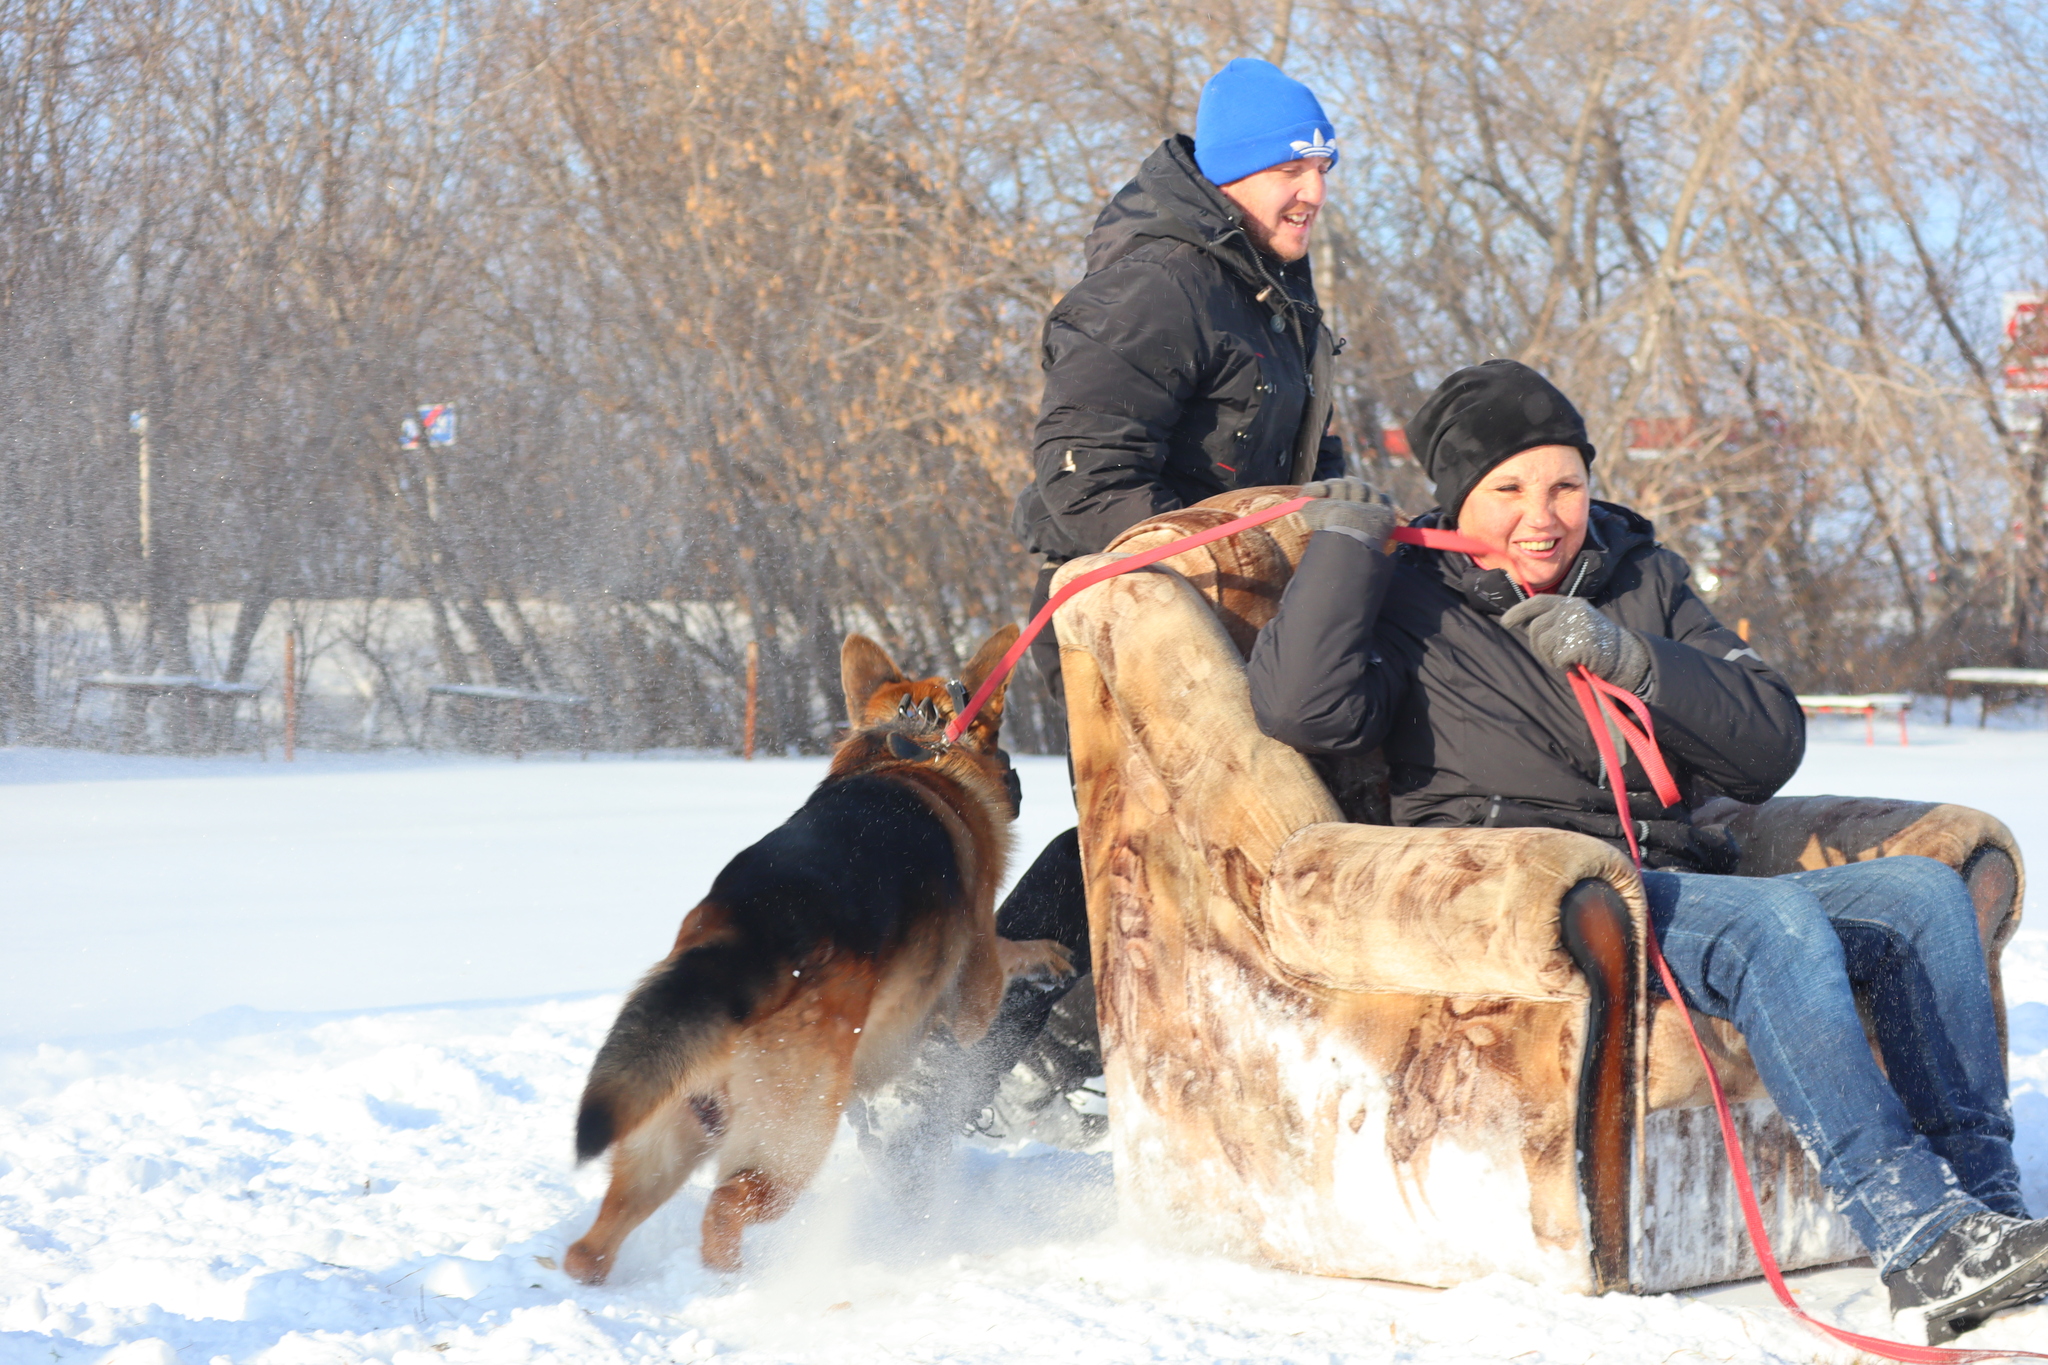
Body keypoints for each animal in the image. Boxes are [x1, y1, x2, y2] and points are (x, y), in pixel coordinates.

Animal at [561, 626, 1073, 1285]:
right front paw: (1044, 957)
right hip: (795, 1140)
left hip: (668, 1138)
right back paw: (742, 1283)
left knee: (595, 1242)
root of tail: (743, 946)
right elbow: (1005, 954)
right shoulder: (975, 994)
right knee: (725, 1207)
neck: (914, 746)